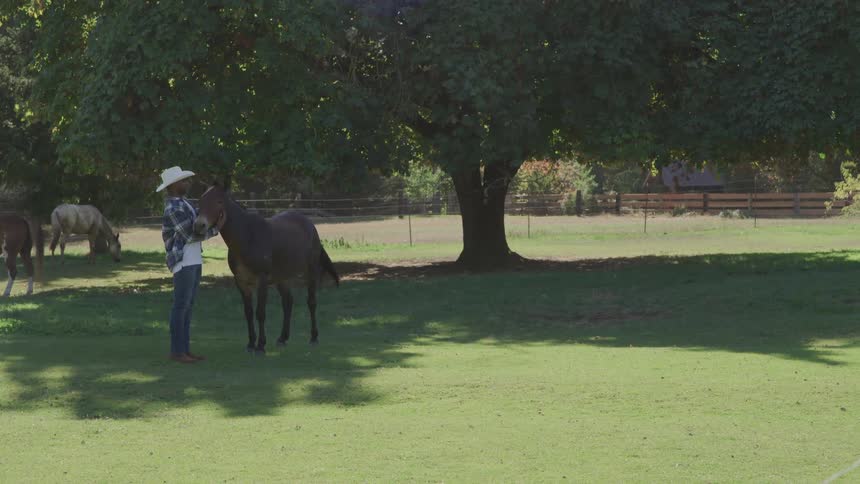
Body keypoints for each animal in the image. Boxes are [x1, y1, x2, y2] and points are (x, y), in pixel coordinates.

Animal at [193, 184, 340, 354]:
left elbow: (260, 313)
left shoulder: (262, 280)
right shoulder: (241, 282)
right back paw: (282, 338)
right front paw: (251, 344)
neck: (247, 236)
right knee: (288, 302)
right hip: (282, 277)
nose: (199, 225)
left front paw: (260, 346)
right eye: (201, 200)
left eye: (219, 201)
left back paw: (314, 338)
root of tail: (309, 225)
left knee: (311, 302)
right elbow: (248, 313)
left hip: (311, 272)